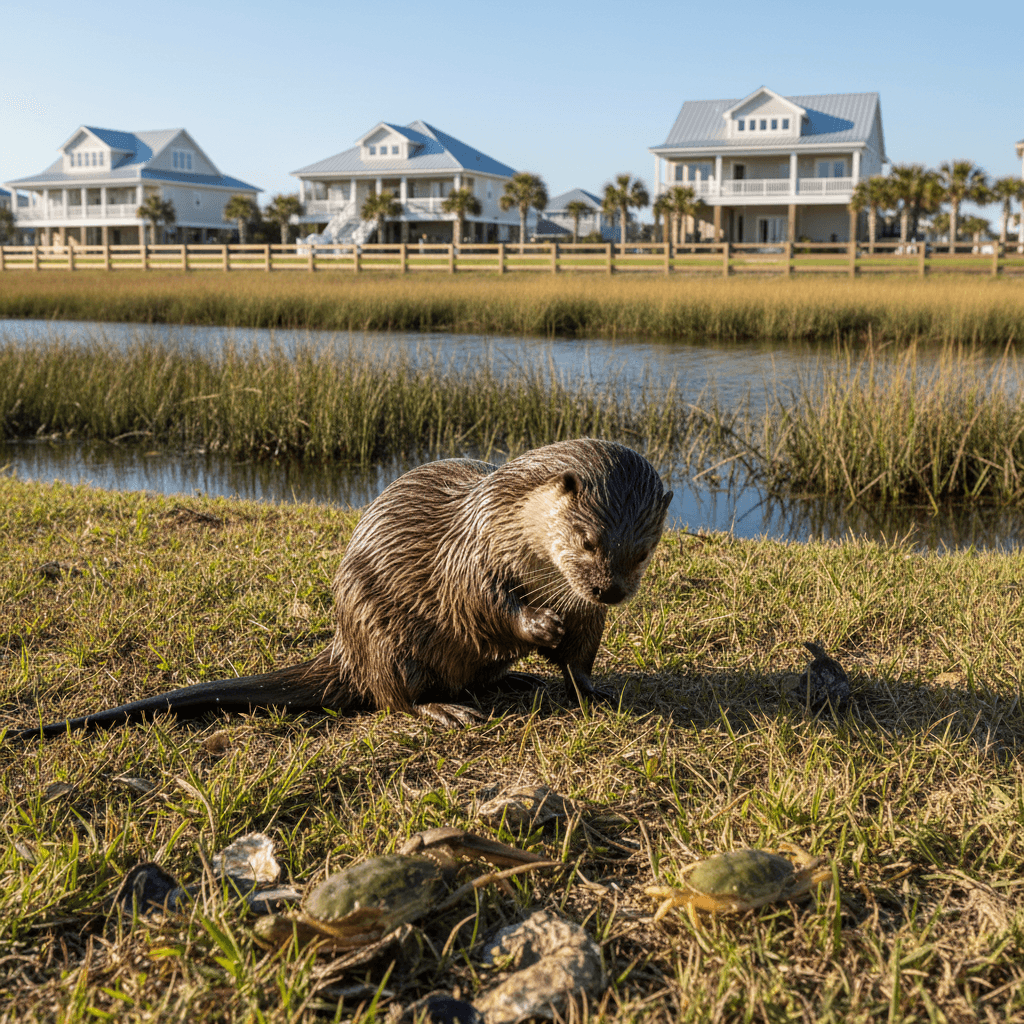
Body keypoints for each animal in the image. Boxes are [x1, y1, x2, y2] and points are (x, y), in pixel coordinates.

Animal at [7, 439, 672, 740]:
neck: (512, 523)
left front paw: (593, 686)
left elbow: (582, 654)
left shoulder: (584, 608)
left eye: (642, 551)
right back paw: (445, 709)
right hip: (380, 628)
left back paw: (515, 680)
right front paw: (537, 627)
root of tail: (344, 647)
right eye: (586, 539)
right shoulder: (473, 554)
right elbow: (482, 605)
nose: (610, 590)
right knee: (391, 696)